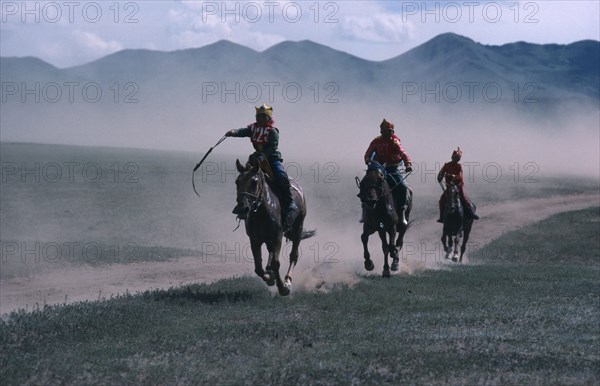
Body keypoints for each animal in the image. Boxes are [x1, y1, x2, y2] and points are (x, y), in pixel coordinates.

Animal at [233, 154, 314, 296]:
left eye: (254, 182)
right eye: (237, 182)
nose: (242, 208)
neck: (262, 211)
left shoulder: (277, 237)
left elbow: (276, 263)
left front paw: (283, 287)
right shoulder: (255, 239)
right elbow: (258, 267)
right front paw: (270, 278)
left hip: (298, 229)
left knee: (294, 255)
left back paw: (288, 281)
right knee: (270, 255)